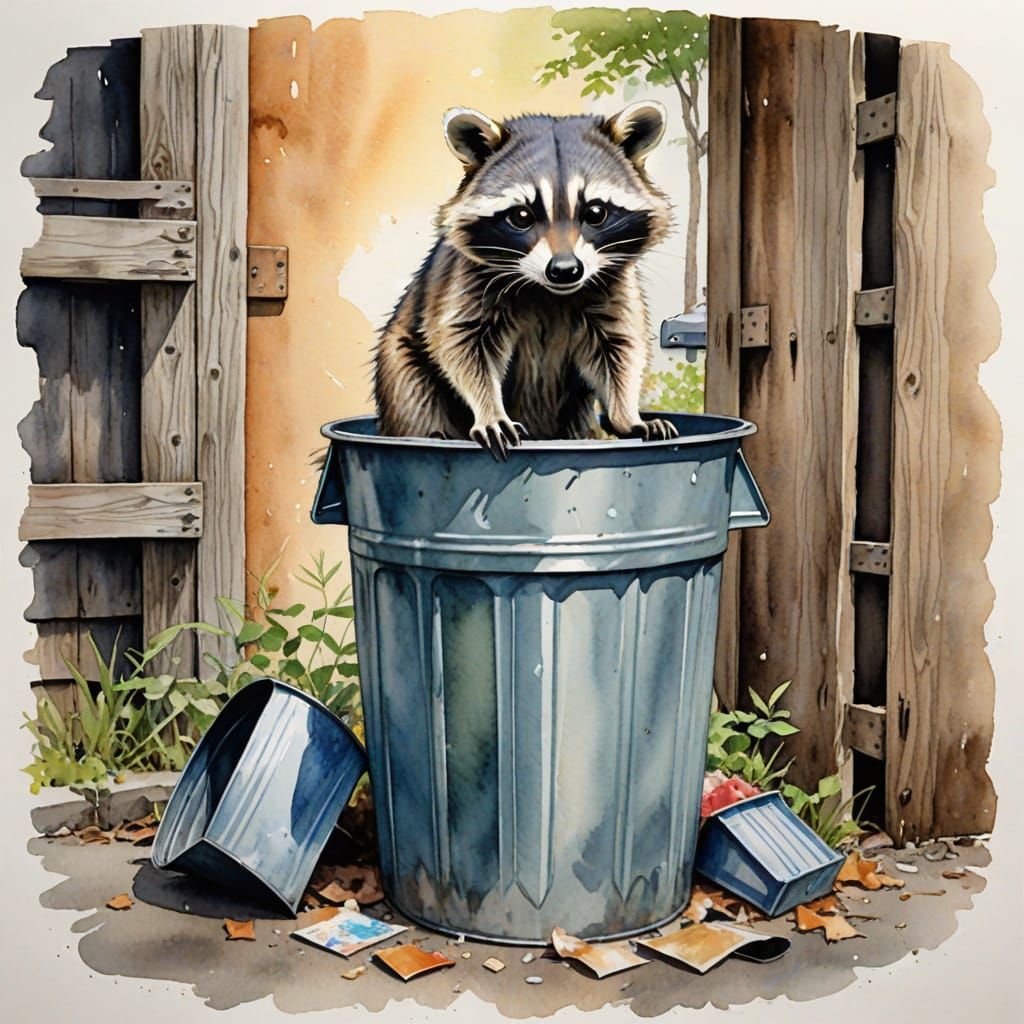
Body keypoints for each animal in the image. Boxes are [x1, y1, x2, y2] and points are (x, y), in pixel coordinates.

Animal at [373, 101, 677, 458]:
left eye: (596, 213)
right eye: (521, 216)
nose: (565, 269)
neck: (549, 293)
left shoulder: (612, 283)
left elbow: (620, 348)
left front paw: (627, 416)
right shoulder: (465, 280)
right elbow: (462, 345)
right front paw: (489, 410)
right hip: (403, 371)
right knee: (416, 399)